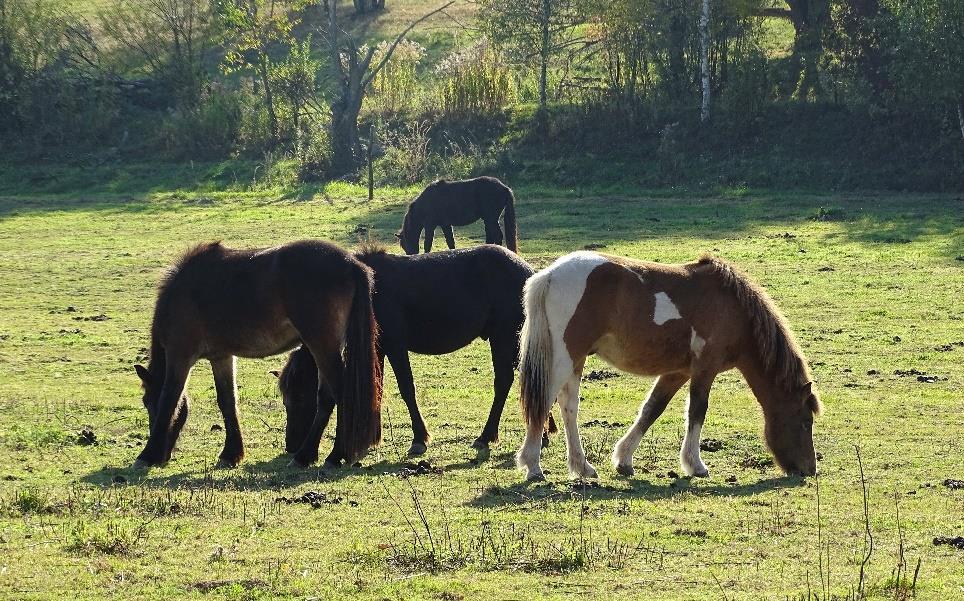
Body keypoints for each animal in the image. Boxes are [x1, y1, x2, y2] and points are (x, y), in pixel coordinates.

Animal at [133, 239, 380, 468]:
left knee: (341, 394)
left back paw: (336, 455)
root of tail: (351, 263)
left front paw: (147, 455)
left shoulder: (180, 355)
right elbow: (227, 401)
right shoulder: (221, 357)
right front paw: (231, 453)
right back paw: (306, 456)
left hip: (322, 346)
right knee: (326, 399)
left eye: (146, 402)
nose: (164, 455)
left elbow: (169, 399)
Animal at [278, 241, 552, 458]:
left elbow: (406, 388)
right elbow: (376, 386)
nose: (291, 445)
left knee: (507, 380)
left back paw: (489, 436)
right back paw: (542, 435)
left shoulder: (396, 346)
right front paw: (372, 438)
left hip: (503, 338)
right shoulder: (377, 349)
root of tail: (528, 272)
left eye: (300, 395)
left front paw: (419, 439)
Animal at [516, 251, 824, 480]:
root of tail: (549, 275)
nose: (810, 470)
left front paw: (624, 460)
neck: (734, 309)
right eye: (805, 420)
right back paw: (533, 467)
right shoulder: (705, 368)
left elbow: (652, 410)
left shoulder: (677, 372)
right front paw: (695, 465)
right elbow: (697, 411)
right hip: (564, 358)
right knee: (544, 402)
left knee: (568, 406)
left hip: (575, 360)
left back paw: (582, 467)